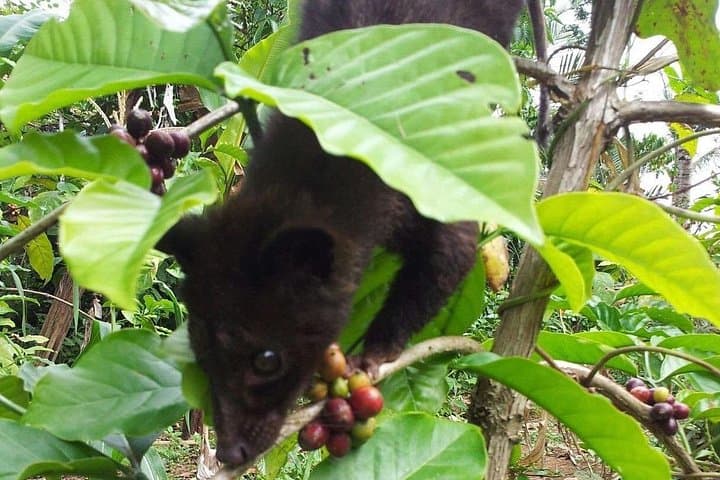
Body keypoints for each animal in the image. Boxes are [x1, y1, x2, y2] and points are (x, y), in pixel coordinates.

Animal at [159, 0, 534, 466]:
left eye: (267, 360)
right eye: (201, 351)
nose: (229, 452)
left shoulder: (427, 187)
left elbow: (448, 257)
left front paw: (372, 355)